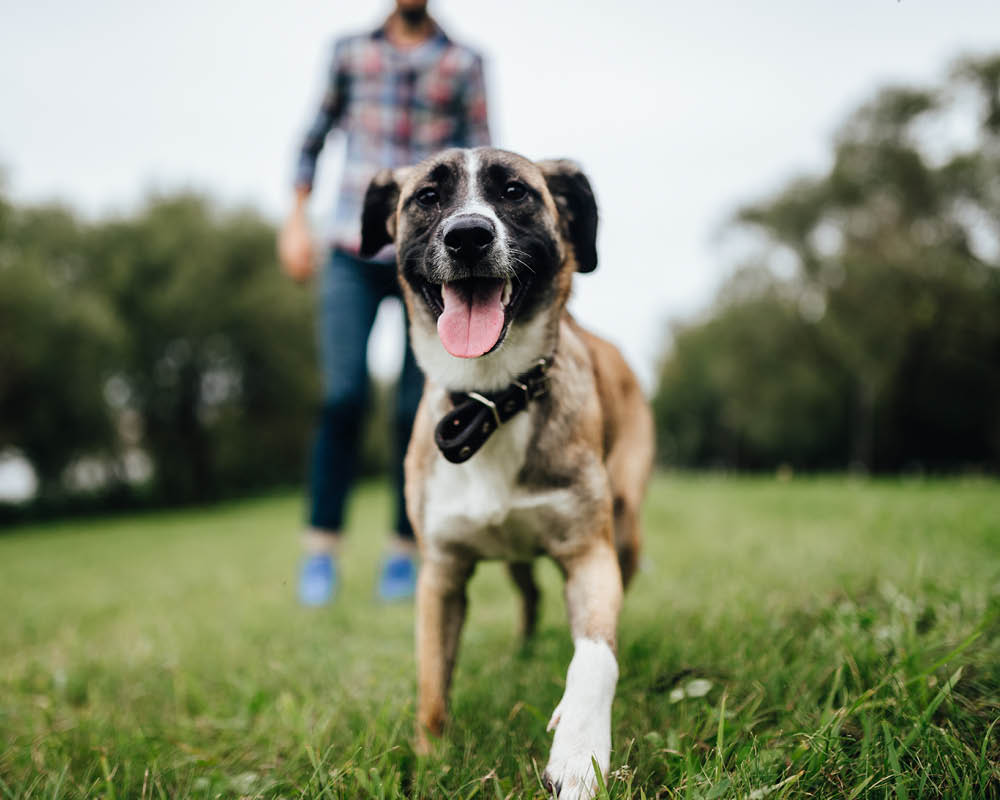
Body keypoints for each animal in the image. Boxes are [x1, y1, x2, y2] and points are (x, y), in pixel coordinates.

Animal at [362, 147, 656, 796]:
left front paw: (579, 754)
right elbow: (432, 685)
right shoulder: (441, 574)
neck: (491, 400)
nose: (468, 235)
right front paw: (431, 760)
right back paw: (523, 653)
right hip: (516, 556)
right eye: (427, 197)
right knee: (529, 595)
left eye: (515, 191)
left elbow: (595, 656)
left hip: (624, 528)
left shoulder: (589, 554)